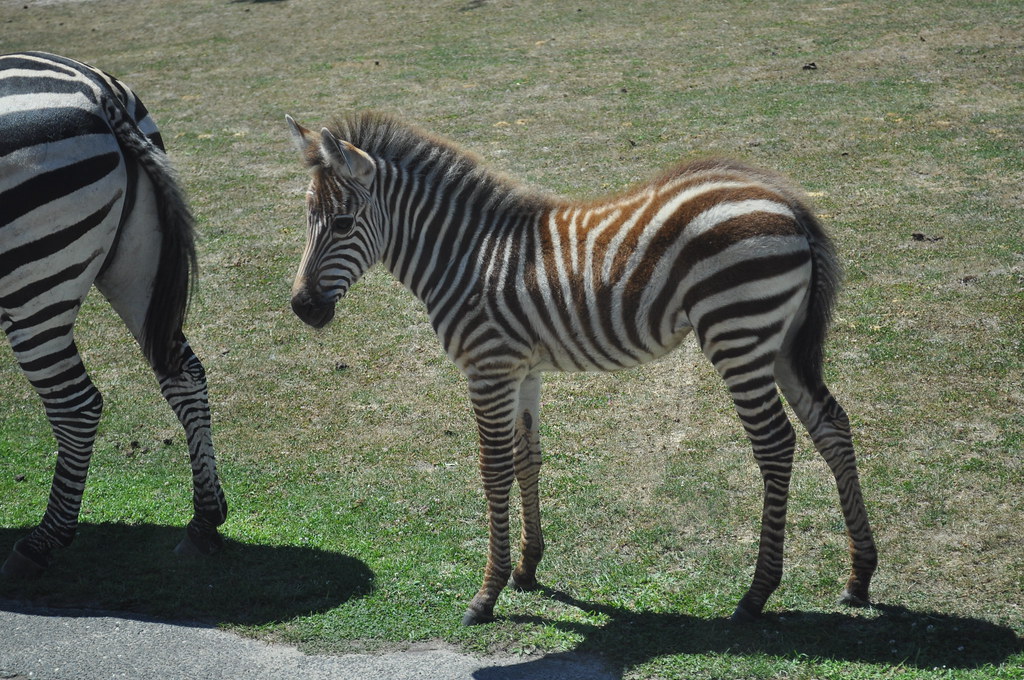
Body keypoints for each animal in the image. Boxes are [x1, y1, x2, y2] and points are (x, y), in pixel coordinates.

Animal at [0, 52, 227, 576]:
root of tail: (97, 91)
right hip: (138, 260)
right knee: (184, 373)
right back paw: (204, 521)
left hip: (34, 287)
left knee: (77, 406)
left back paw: (42, 542)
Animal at [285, 111, 877, 625]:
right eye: (307, 220)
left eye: (343, 223)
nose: (302, 308)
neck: (467, 256)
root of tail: (786, 199)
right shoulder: (522, 369)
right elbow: (527, 458)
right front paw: (526, 569)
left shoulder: (488, 367)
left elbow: (493, 470)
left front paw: (487, 593)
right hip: (782, 340)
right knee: (831, 425)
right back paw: (859, 577)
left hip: (739, 334)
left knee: (776, 445)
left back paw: (757, 593)